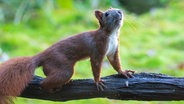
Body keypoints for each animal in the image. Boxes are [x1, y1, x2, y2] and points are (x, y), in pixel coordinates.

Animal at [0, 7, 134, 103]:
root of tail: (42, 56)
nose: (120, 11)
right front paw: (98, 81)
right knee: (44, 83)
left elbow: (115, 63)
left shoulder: (113, 50)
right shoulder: (98, 48)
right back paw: (53, 87)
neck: (112, 35)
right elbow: (96, 66)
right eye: (106, 14)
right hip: (62, 67)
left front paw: (123, 72)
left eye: (116, 9)